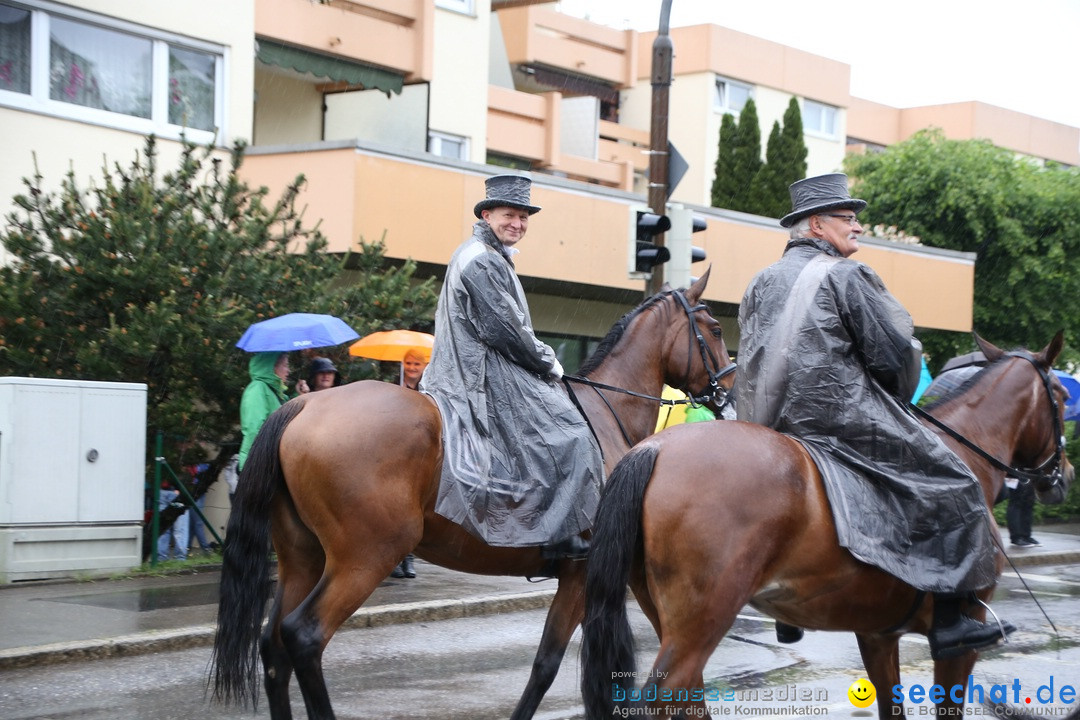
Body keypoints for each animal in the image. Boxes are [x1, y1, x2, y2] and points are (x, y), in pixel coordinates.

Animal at [208, 269, 734, 720]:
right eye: (714, 328)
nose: (728, 394)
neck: (607, 415)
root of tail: (302, 406)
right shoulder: (582, 575)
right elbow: (550, 665)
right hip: (365, 557)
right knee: (305, 636)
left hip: (303, 558)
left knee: (273, 646)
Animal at [583, 334, 1071, 720]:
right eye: (1063, 397)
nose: (1063, 474)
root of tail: (655, 449)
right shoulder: (961, 646)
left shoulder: (878, 634)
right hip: (703, 619)